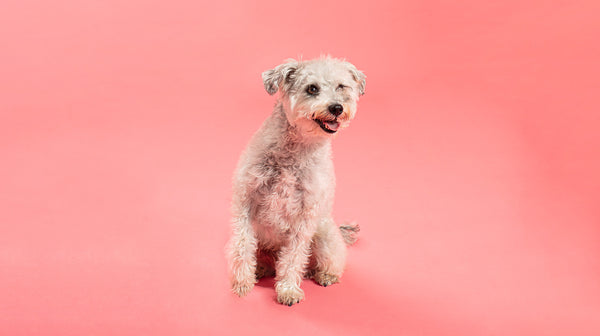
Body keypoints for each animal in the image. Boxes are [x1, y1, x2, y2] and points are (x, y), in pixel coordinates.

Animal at [226, 56, 364, 306]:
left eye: (341, 87)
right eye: (312, 88)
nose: (337, 108)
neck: (295, 152)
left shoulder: (304, 218)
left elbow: (293, 257)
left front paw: (288, 289)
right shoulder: (245, 202)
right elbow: (242, 244)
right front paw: (242, 283)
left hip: (324, 235)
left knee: (327, 262)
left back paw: (324, 275)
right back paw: (260, 268)